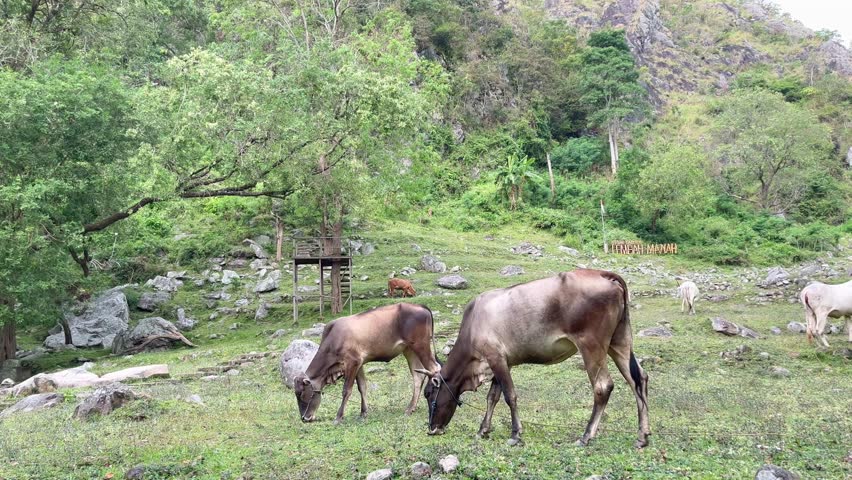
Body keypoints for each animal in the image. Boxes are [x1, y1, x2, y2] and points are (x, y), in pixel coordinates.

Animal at [294, 303, 441, 424]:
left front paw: (338, 417)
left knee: (434, 369)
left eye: (300, 393)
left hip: (421, 346)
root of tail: (421, 306)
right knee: (418, 376)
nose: (304, 418)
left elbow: (346, 390)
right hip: (409, 350)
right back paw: (410, 408)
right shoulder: (359, 364)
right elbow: (362, 387)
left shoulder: (352, 362)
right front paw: (363, 413)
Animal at [419, 269, 650, 448]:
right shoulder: (503, 362)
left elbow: (510, 396)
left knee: (603, 386)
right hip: (620, 341)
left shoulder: (495, 358)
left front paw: (515, 435)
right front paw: (483, 430)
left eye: (428, 393)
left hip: (592, 345)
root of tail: (603, 274)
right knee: (638, 379)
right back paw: (642, 436)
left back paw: (586, 436)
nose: (431, 429)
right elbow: (492, 397)